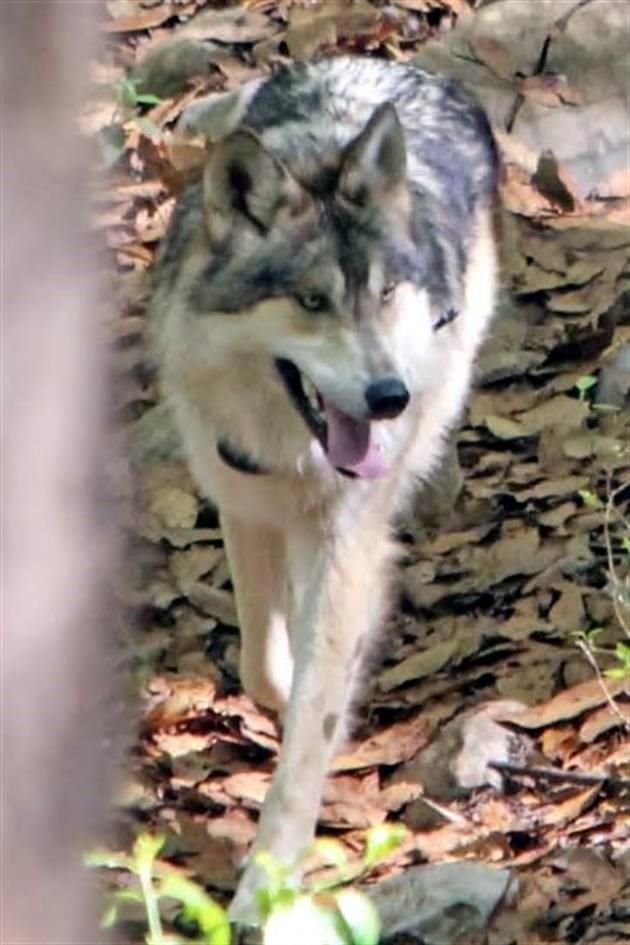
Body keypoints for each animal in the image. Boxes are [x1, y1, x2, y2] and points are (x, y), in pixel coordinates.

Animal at [151, 53, 502, 920]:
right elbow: (264, 667)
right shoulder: (240, 500)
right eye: (311, 301)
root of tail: (387, 63)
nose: (387, 397)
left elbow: (314, 709)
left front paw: (264, 886)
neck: (293, 449)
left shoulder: (343, 535)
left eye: (382, 293)